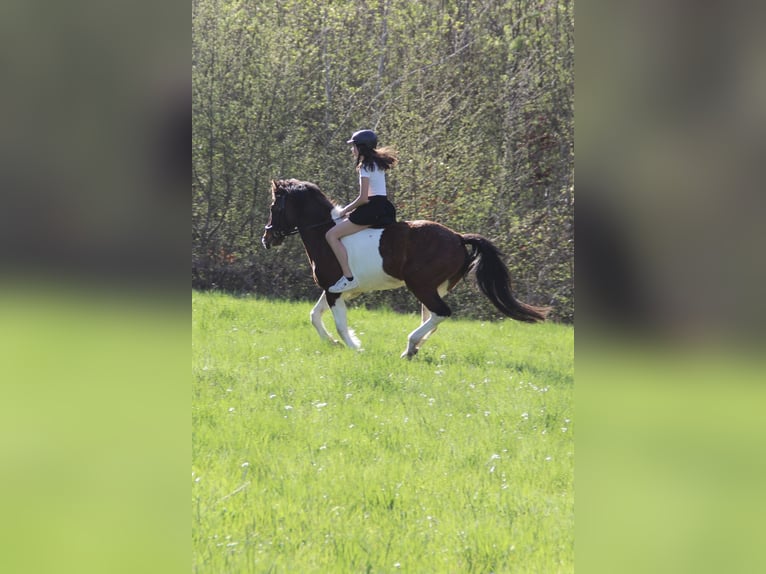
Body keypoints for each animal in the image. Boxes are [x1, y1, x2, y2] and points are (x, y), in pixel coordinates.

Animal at [264, 180, 552, 360]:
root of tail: (459, 238)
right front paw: (333, 344)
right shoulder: (335, 290)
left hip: (421, 285)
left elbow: (339, 324)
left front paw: (355, 347)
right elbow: (314, 315)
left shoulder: (335, 290)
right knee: (432, 318)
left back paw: (410, 346)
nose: (267, 239)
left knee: (440, 313)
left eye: (274, 207)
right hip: (434, 288)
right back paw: (413, 349)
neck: (324, 233)